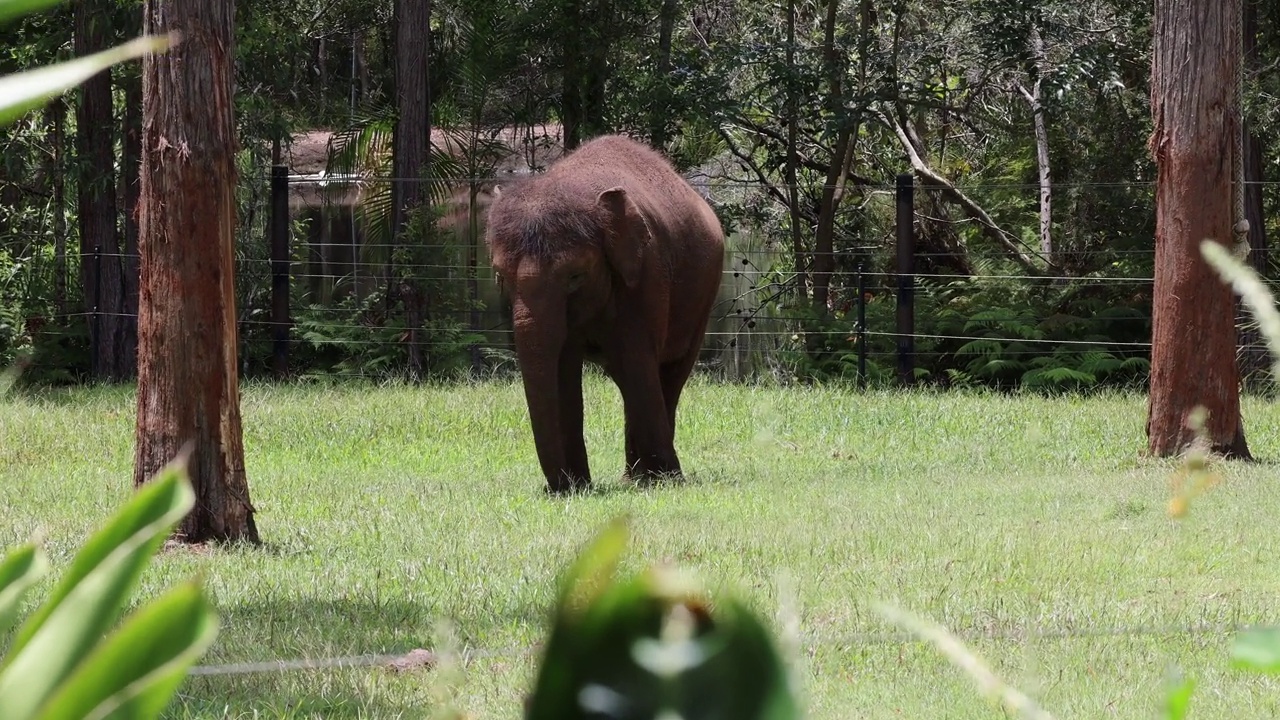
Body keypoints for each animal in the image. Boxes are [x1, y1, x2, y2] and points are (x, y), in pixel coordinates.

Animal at [483, 133, 727, 491]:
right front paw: (577, 487)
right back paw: (633, 477)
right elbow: (564, 368)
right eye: (501, 277)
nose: (556, 487)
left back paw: (653, 477)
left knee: (668, 373)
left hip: (704, 293)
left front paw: (665, 481)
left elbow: (637, 358)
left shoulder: (645, 274)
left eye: (575, 277)